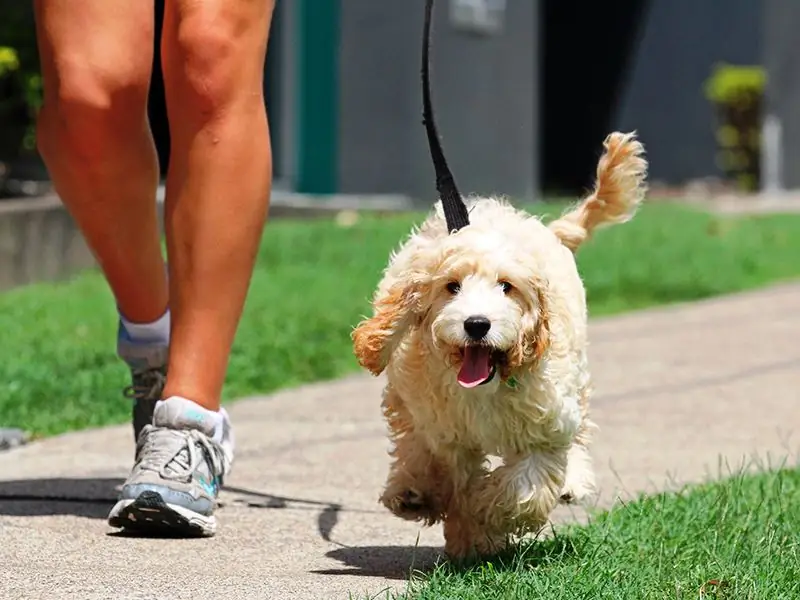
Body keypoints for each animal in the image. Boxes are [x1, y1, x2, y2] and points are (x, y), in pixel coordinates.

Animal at [354, 1, 648, 564]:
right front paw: (457, 521)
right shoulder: (444, 430)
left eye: (508, 288)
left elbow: (525, 485)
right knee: (410, 439)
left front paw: (484, 523)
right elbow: (447, 467)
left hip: (575, 379)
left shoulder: (546, 426)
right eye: (451, 287)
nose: (476, 325)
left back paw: (570, 482)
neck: (486, 387)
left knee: (576, 437)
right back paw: (410, 490)